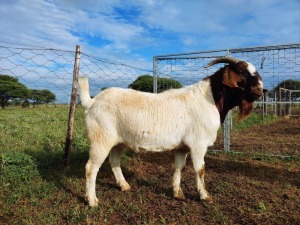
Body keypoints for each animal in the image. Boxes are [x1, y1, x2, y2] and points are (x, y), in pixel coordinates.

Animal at [79, 57, 264, 207]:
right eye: (241, 72)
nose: (261, 90)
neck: (210, 99)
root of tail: (92, 102)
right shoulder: (198, 145)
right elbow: (200, 169)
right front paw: (205, 196)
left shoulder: (182, 147)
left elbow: (179, 167)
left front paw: (177, 193)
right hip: (100, 139)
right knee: (91, 168)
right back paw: (92, 201)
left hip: (118, 142)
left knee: (114, 161)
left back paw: (124, 186)